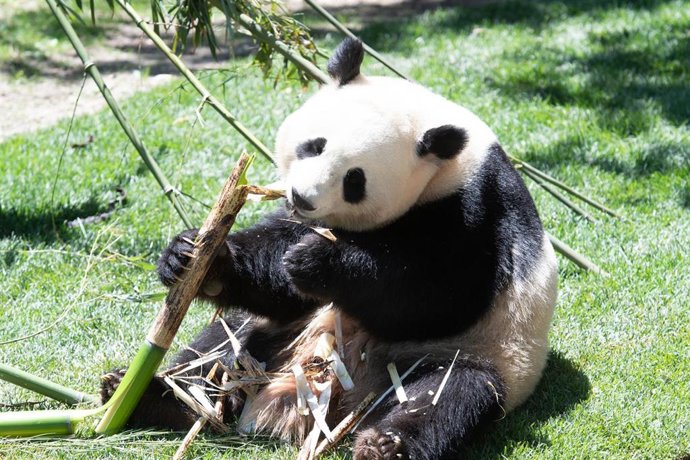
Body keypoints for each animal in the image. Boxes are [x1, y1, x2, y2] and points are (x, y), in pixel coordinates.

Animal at [101, 38, 558, 460]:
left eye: (355, 179)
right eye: (314, 145)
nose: (302, 197)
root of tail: (333, 401)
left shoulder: (472, 210)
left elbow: (437, 294)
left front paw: (317, 262)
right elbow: (276, 274)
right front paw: (195, 256)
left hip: (473, 355)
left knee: (446, 395)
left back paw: (384, 444)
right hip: (269, 338)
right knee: (219, 343)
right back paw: (160, 397)